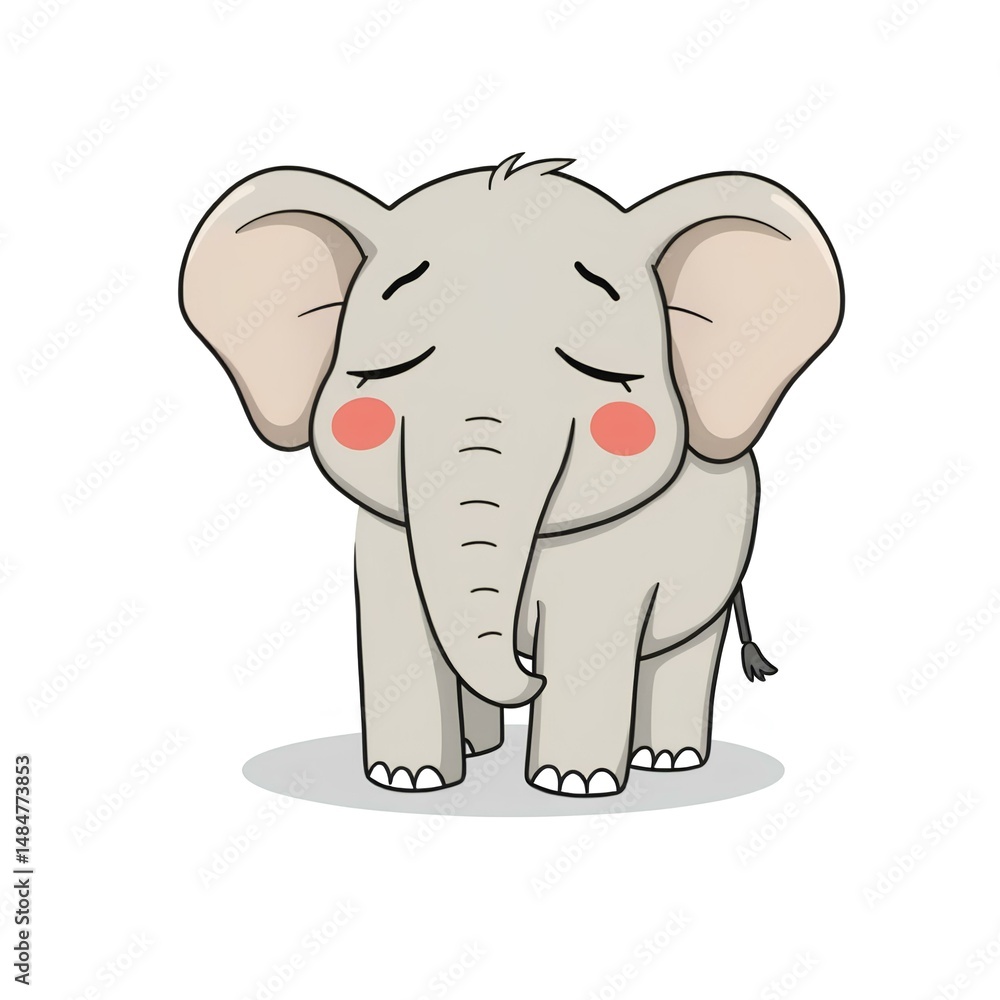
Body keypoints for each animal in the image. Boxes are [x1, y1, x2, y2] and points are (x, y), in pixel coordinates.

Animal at [179, 154, 843, 797]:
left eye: (599, 377)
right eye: (386, 374)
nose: (532, 675)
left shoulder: (616, 555)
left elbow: (588, 630)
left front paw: (573, 786)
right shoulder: (389, 535)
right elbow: (402, 623)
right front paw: (407, 780)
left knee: (683, 648)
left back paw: (666, 761)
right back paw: (482, 750)